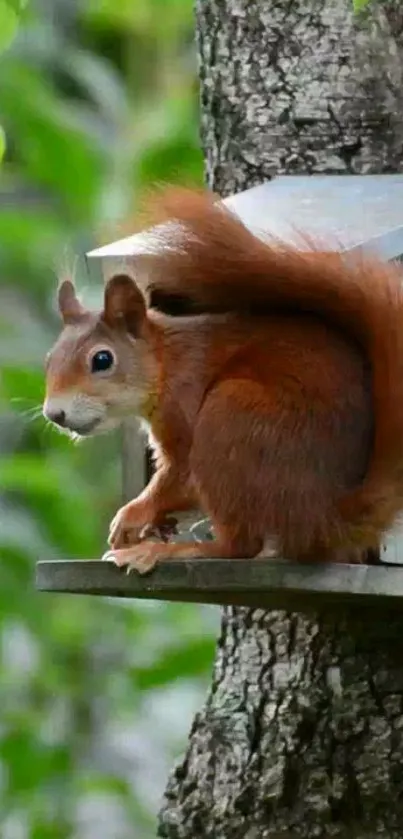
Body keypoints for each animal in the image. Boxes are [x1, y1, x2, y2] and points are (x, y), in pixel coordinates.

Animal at [41, 187, 403, 576]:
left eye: (102, 360)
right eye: (49, 359)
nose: (54, 414)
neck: (167, 362)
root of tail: (326, 520)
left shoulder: (184, 404)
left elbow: (179, 476)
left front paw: (132, 515)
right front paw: (150, 525)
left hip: (229, 419)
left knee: (240, 546)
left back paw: (172, 551)